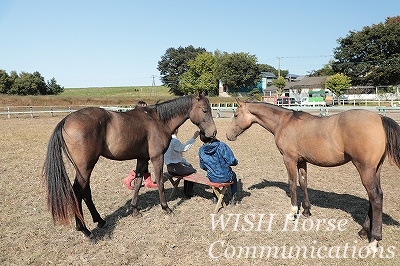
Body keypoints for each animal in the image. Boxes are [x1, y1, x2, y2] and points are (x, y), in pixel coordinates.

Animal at [43, 93, 216, 237]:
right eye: (205, 110)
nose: (212, 133)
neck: (158, 120)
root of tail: (66, 120)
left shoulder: (142, 159)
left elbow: (138, 183)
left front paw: (135, 210)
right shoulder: (156, 158)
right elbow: (160, 182)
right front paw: (166, 207)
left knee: (86, 192)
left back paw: (100, 221)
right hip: (85, 167)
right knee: (78, 192)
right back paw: (84, 229)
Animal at [227, 98, 400, 249]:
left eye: (236, 115)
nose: (229, 135)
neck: (284, 122)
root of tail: (380, 117)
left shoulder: (289, 159)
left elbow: (292, 183)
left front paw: (292, 213)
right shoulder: (302, 160)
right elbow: (303, 182)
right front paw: (306, 211)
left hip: (365, 169)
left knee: (375, 197)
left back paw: (374, 240)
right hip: (375, 170)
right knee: (374, 198)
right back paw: (363, 231)